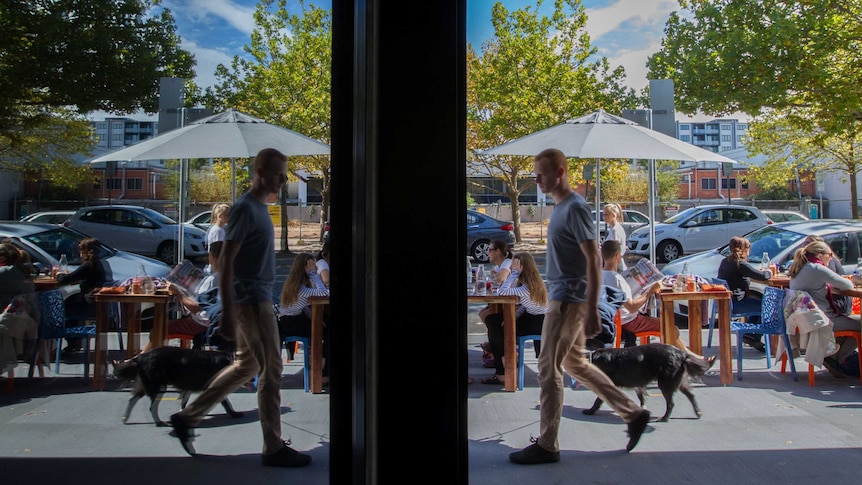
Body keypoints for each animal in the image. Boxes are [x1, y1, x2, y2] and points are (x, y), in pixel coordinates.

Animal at [111, 346, 245, 426]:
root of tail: (141, 357)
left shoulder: (188, 387)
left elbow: (184, 403)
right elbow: (226, 402)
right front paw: (235, 414)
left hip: (149, 384)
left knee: (133, 399)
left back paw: (125, 418)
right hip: (159, 385)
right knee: (151, 406)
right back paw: (159, 422)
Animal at [588, 342, 716, 422]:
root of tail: (682, 354)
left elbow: (598, 400)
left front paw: (590, 411)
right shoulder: (638, 384)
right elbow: (642, 398)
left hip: (665, 383)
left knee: (671, 403)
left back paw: (664, 418)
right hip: (678, 382)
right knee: (691, 395)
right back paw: (698, 412)